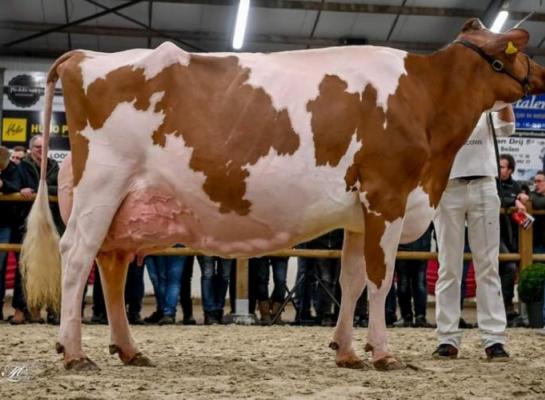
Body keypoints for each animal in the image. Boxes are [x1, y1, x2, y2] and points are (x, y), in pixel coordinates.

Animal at [21, 18, 544, 368]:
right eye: (519, 52)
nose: (541, 75)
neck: (425, 99)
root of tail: (85, 56)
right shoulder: (387, 197)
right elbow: (380, 279)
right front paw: (382, 353)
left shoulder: (359, 214)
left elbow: (352, 279)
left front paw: (347, 350)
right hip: (101, 187)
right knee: (77, 257)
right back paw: (74, 353)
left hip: (125, 205)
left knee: (109, 265)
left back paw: (129, 350)